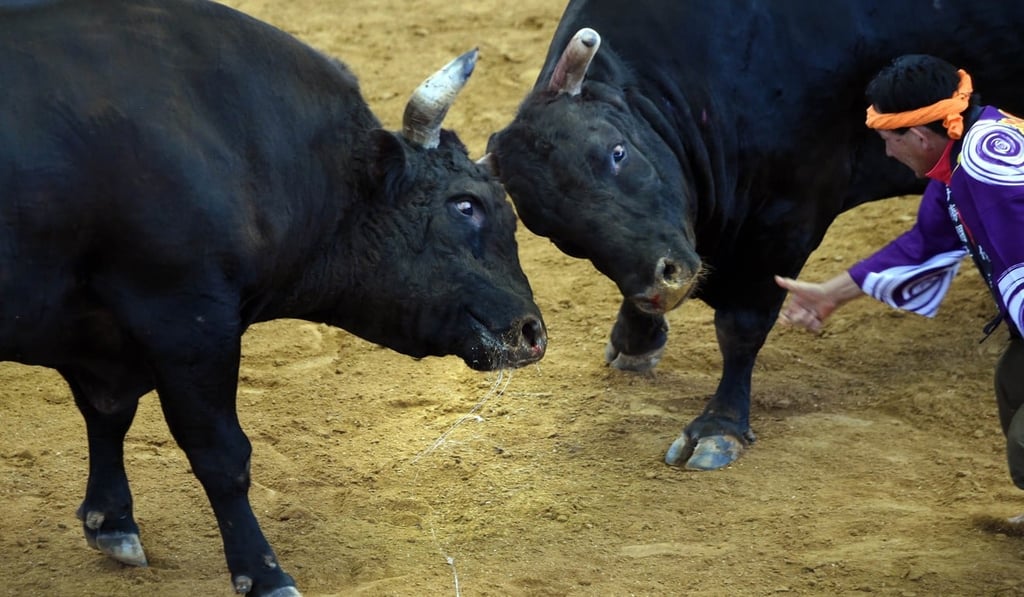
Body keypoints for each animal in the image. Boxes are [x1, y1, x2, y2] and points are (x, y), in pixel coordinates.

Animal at [0, 0, 546, 595]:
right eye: (465, 205)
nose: (533, 332)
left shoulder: (102, 337)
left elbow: (107, 413)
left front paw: (112, 521)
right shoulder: (188, 321)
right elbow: (221, 453)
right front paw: (263, 572)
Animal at [484, 0, 1024, 471]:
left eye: (617, 152)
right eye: (554, 229)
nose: (665, 282)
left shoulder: (785, 216)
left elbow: (740, 327)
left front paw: (717, 426)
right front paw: (636, 338)